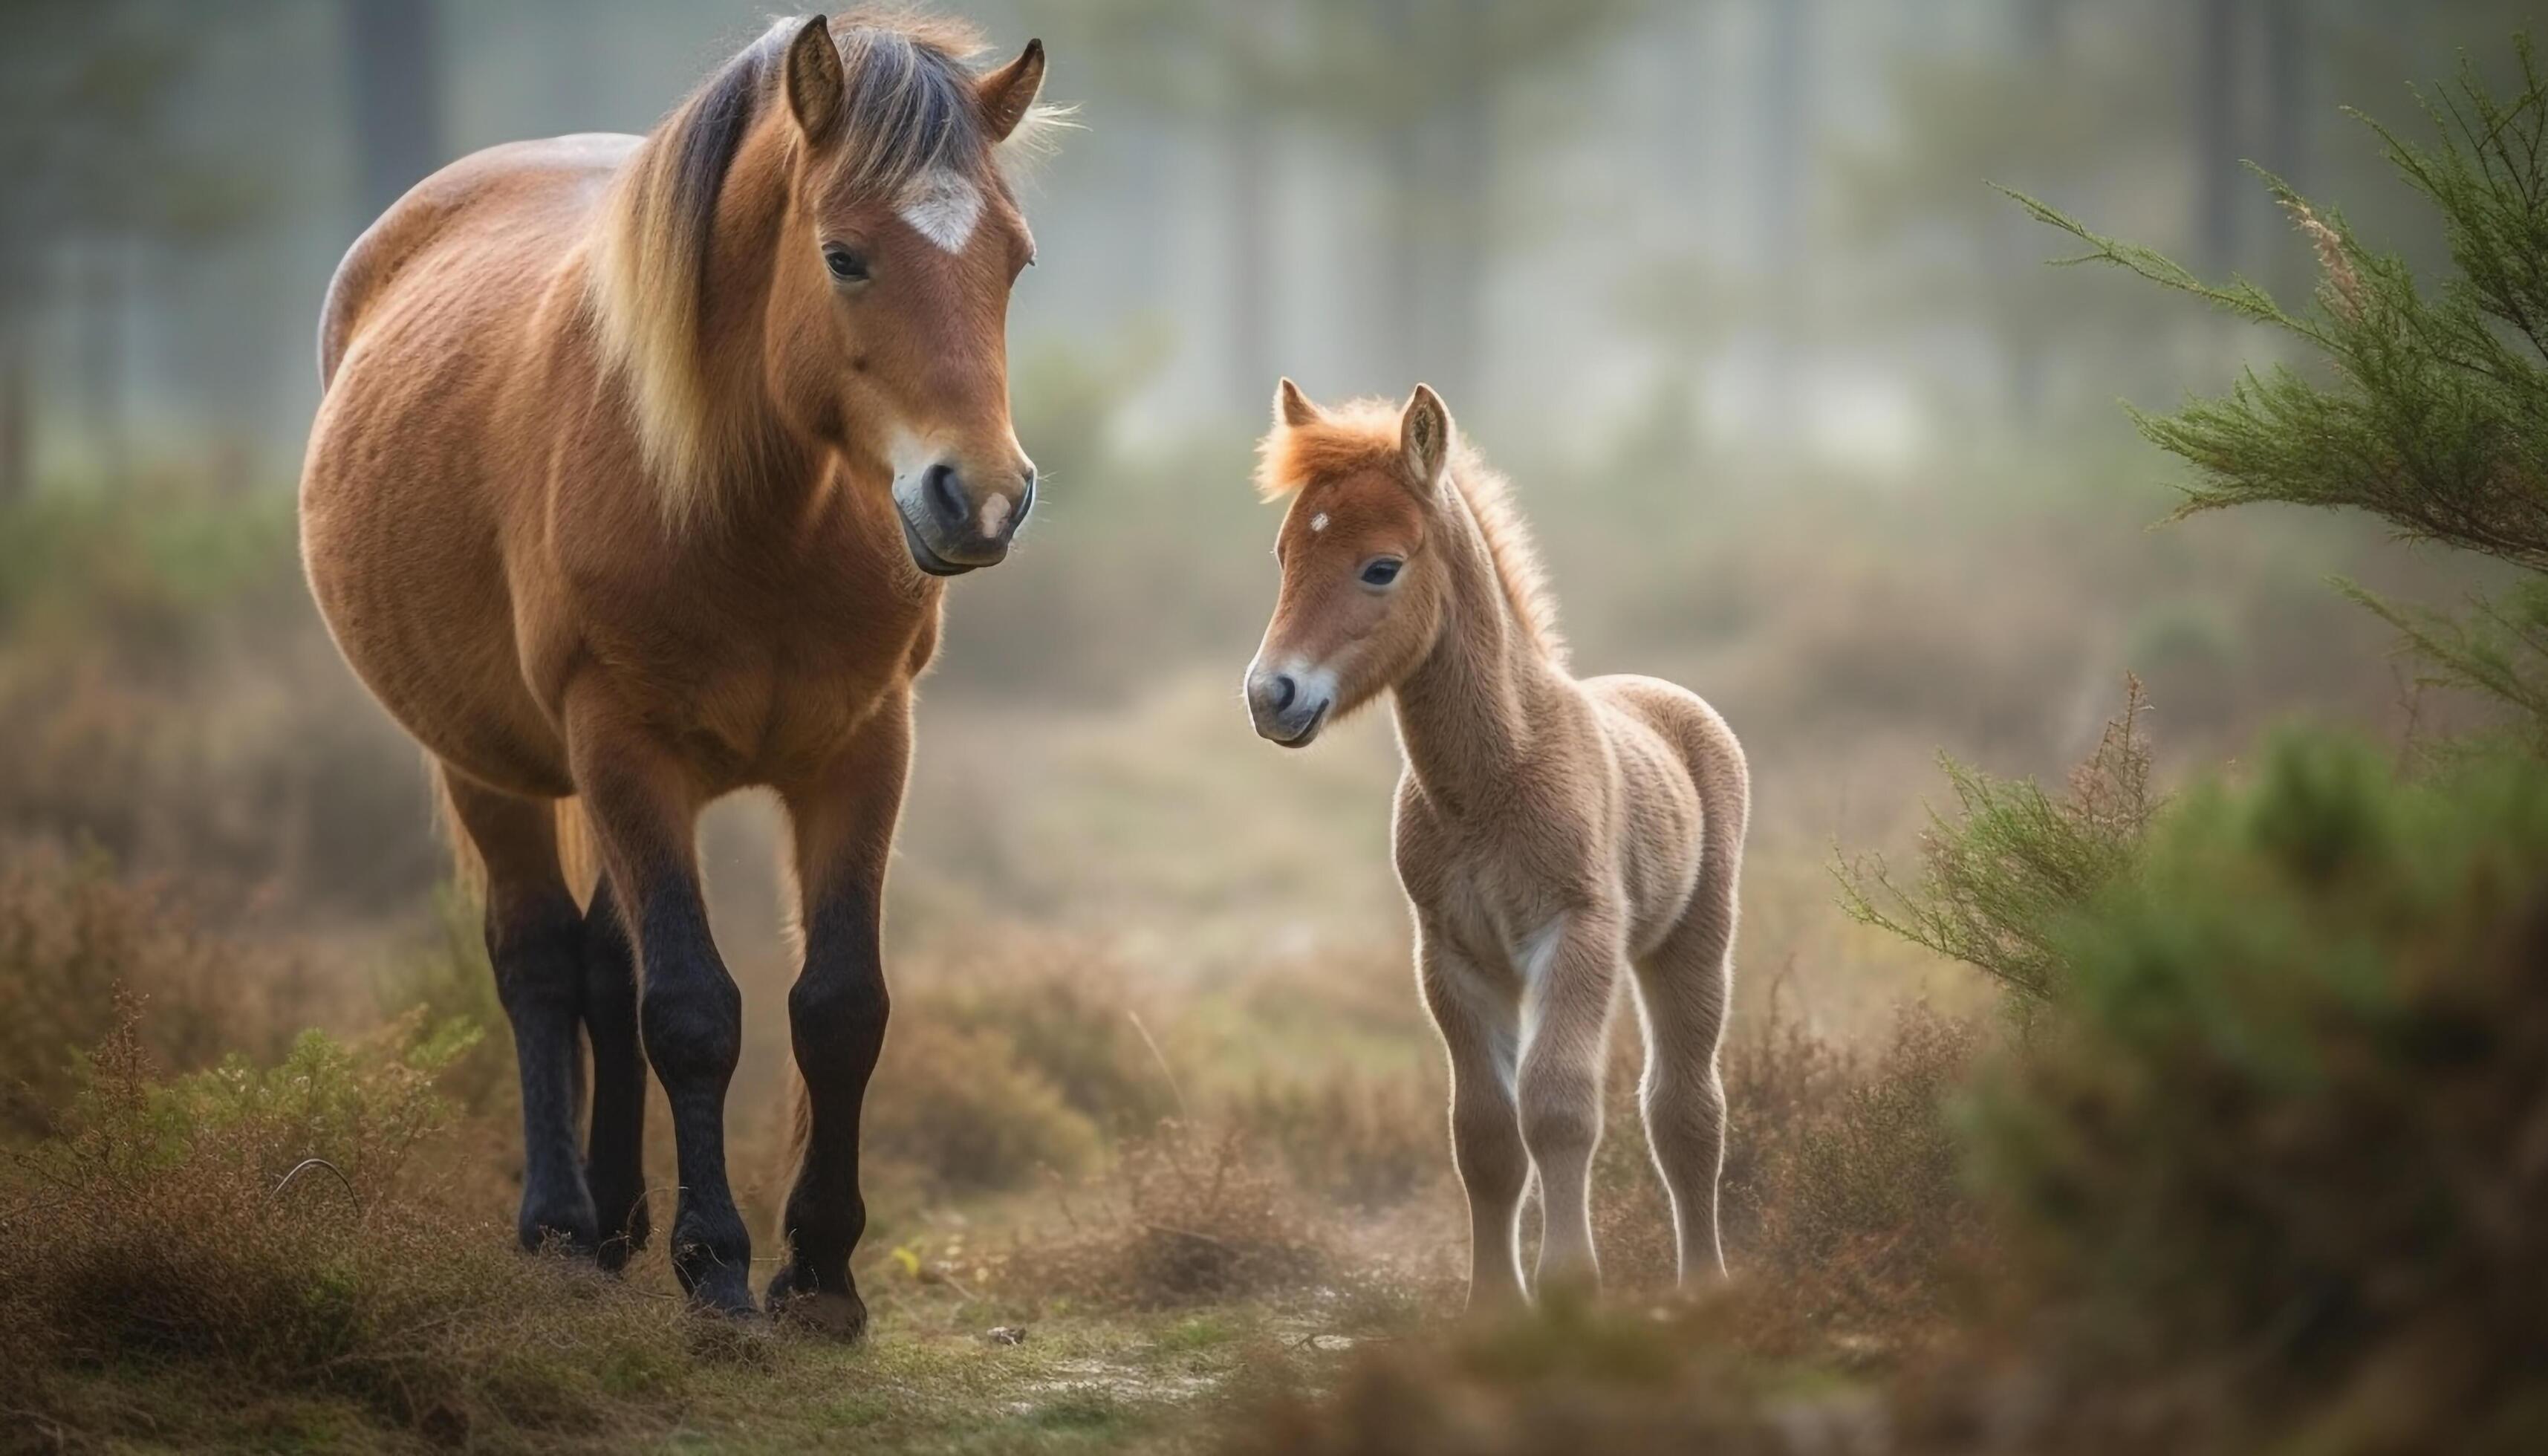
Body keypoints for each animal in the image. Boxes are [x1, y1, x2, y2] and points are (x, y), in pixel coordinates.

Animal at [300, 11, 1055, 1336]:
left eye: (1011, 261)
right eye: (846, 257)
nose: (981, 498)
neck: (753, 517)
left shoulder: (866, 748)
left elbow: (838, 1007)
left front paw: (821, 1277)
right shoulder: (623, 749)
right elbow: (692, 1011)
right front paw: (720, 1273)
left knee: (605, 969)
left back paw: (614, 1225)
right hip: (489, 766)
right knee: (542, 965)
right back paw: (559, 1227)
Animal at [1238, 382, 1752, 1305]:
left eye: (1380, 566)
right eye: (1285, 553)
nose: (1271, 695)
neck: (1492, 780)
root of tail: (1670, 698)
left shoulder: (1574, 935)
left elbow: (1557, 1109)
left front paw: (1570, 1291)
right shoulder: (1452, 956)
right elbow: (1483, 1133)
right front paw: (1492, 1306)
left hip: (1691, 943)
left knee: (1684, 1109)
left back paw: (1702, 1285)